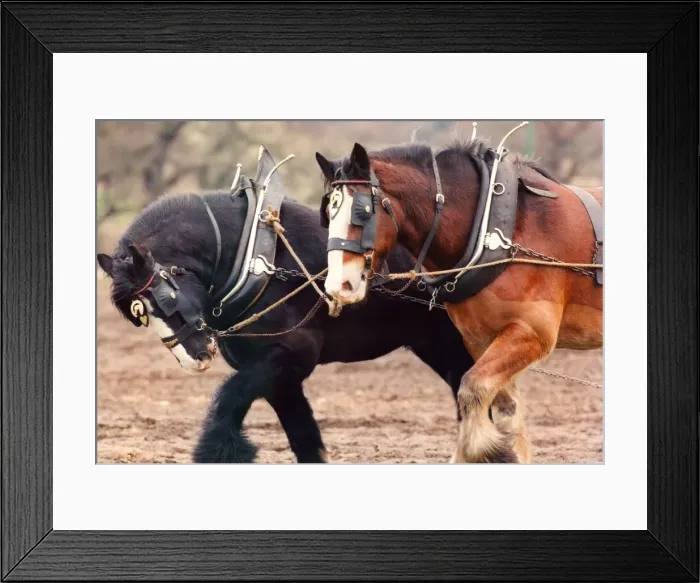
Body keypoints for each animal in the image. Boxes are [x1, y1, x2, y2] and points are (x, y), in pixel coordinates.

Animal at [97, 191, 474, 463]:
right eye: (140, 316)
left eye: (166, 299)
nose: (195, 360)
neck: (257, 260)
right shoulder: (281, 376)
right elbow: (303, 437)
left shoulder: (291, 352)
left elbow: (229, 397)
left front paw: (217, 450)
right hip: (436, 345)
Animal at [315, 138, 603, 463]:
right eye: (328, 213)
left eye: (362, 212)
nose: (339, 285)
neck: (502, 230)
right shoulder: (479, 339)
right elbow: (505, 407)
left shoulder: (532, 334)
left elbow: (472, 388)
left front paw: (483, 449)